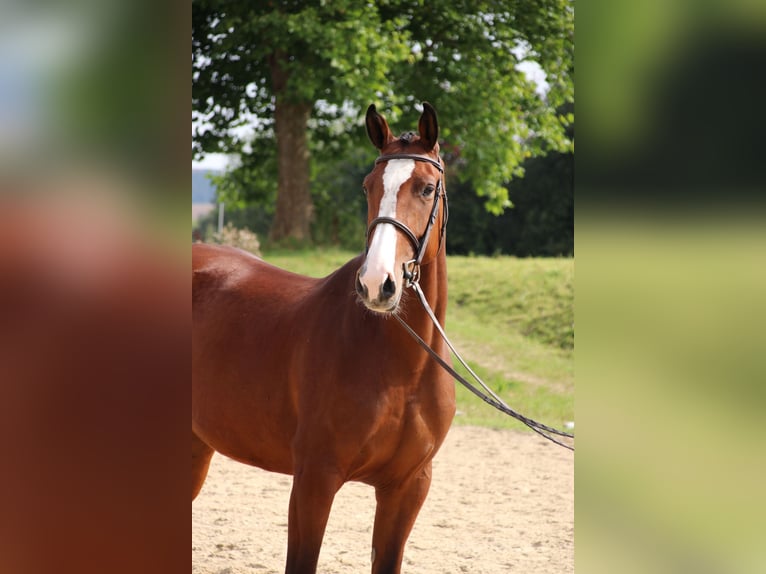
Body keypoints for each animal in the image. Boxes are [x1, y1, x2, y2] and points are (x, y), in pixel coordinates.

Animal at [194, 103, 456, 574]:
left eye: (427, 188)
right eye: (368, 186)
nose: (376, 284)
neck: (402, 371)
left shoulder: (407, 488)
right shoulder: (314, 482)